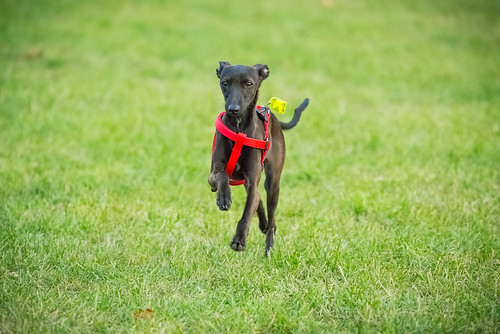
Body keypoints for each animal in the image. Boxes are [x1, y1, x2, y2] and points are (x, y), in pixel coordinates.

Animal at [208, 62, 308, 256]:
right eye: (225, 83)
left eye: (249, 83)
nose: (233, 109)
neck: (239, 128)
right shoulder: (212, 176)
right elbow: (222, 176)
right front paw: (224, 197)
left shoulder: (252, 179)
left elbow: (247, 211)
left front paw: (239, 240)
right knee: (260, 201)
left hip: (273, 184)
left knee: (271, 218)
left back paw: (268, 248)